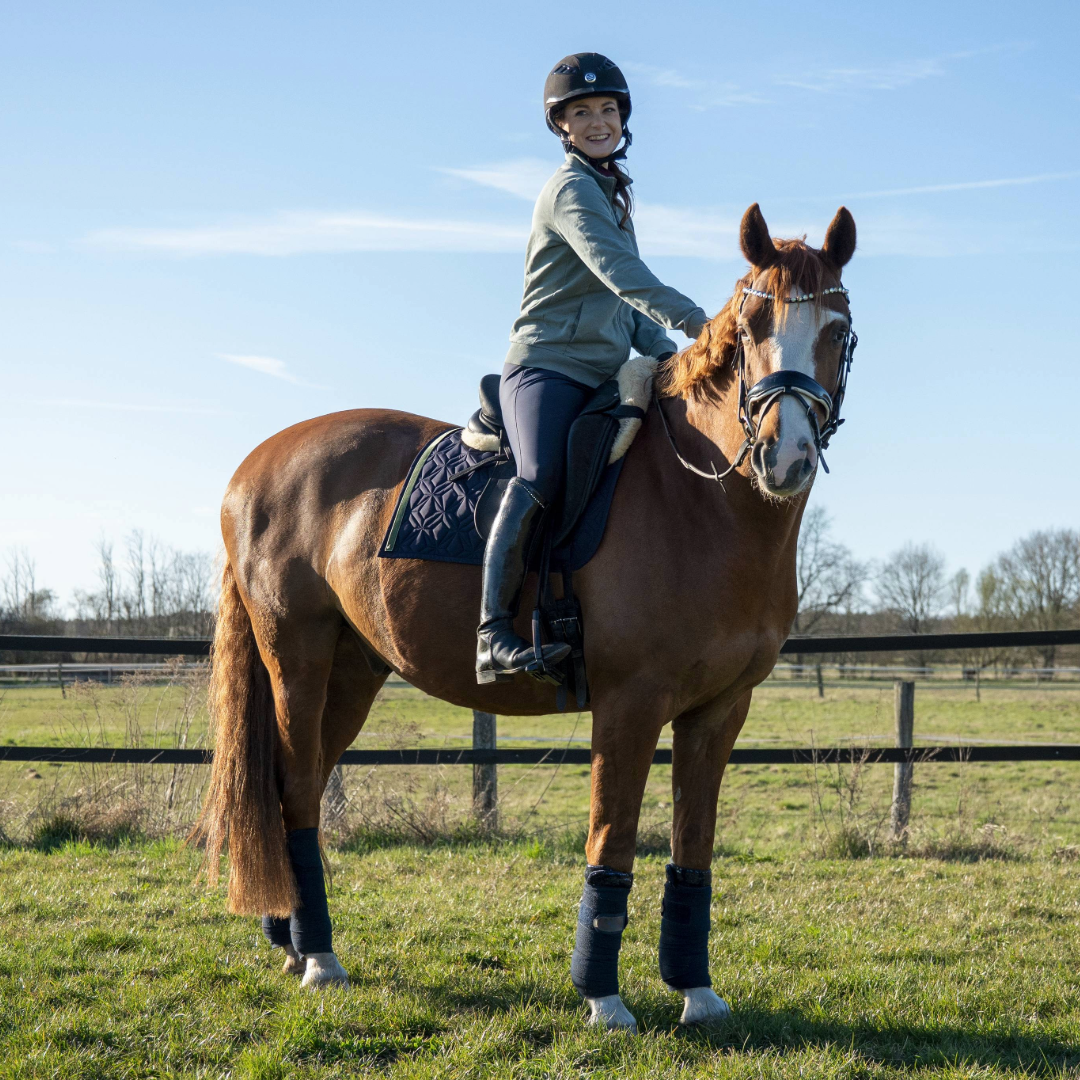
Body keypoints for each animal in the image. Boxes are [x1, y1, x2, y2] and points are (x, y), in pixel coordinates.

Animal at [193, 202, 858, 1031]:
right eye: (751, 326)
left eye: (839, 328)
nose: (785, 455)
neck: (702, 499)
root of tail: (254, 465)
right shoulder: (629, 704)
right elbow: (612, 839)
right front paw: (603, 998)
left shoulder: (719, 711)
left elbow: (692, 850)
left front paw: (696, 992)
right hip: (298, 660)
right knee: (293, 793)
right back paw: (319, 958)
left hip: (353, 670)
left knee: (302, 787)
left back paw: (290, 939)